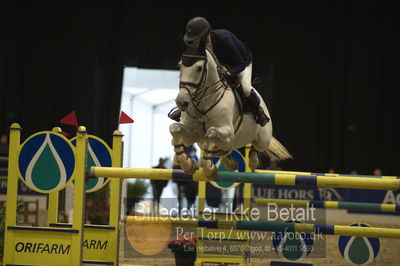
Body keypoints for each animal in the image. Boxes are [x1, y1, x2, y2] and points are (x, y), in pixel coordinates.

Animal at [169, 42, 290, 178]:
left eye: (199, 68)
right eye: (180, 66)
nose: (181, 102)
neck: (204, 106)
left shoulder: (228, 133)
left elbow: (211, 133)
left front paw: (208, 169)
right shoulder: (191, 135)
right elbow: (174, 128)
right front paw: (187, 164)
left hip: (263, 139)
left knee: (256, 146)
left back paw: (252, 160)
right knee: (225, 152)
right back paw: (230, 162)